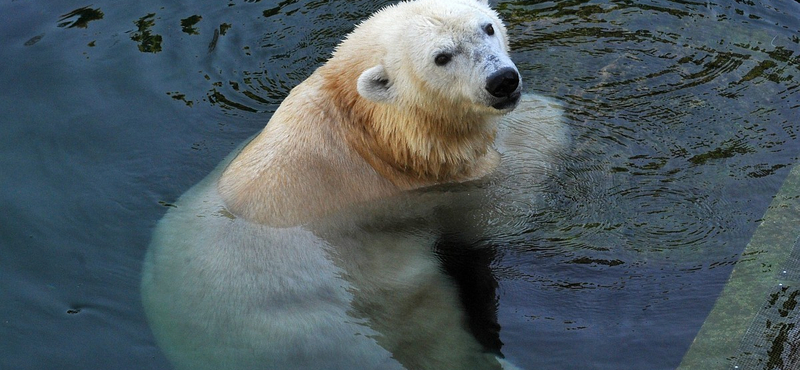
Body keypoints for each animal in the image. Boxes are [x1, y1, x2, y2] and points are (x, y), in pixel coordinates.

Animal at [144, 0, 568, 370]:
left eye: (488, 27)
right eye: (442, 57)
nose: (502, 81)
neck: (368, 129)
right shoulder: (426, 191)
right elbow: (500, 196)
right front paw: (544, 120)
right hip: (322, 325)